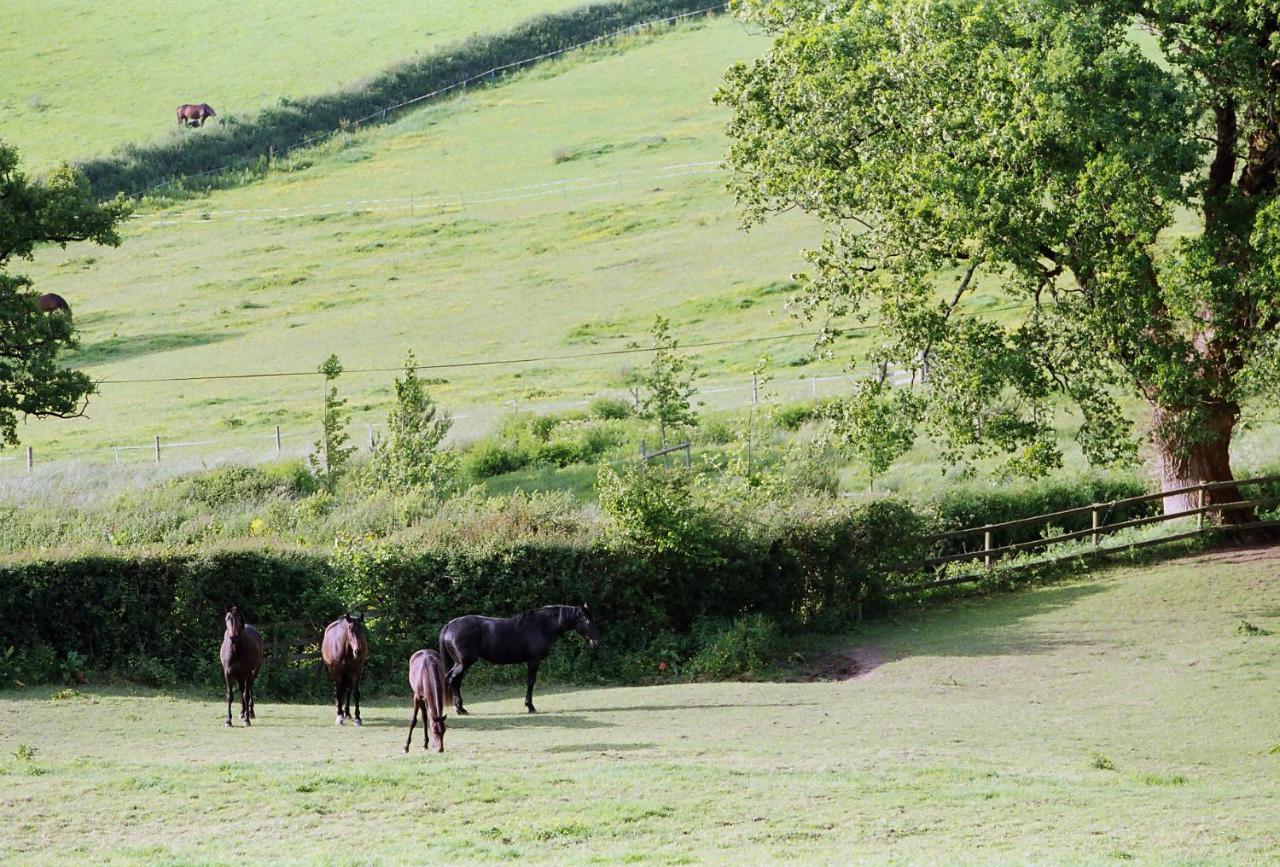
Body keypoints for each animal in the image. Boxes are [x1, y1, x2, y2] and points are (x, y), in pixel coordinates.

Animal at [440, 604, 599, 712]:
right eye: (587, 621)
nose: (596, 642)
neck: (541, 625)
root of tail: (450, 625)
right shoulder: (533, 661)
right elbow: (531, 682)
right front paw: (530, 706)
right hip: (464, 663)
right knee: (453, 679)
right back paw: (460, 709)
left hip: (460, 663)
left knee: (454, 681)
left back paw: (460, 707)